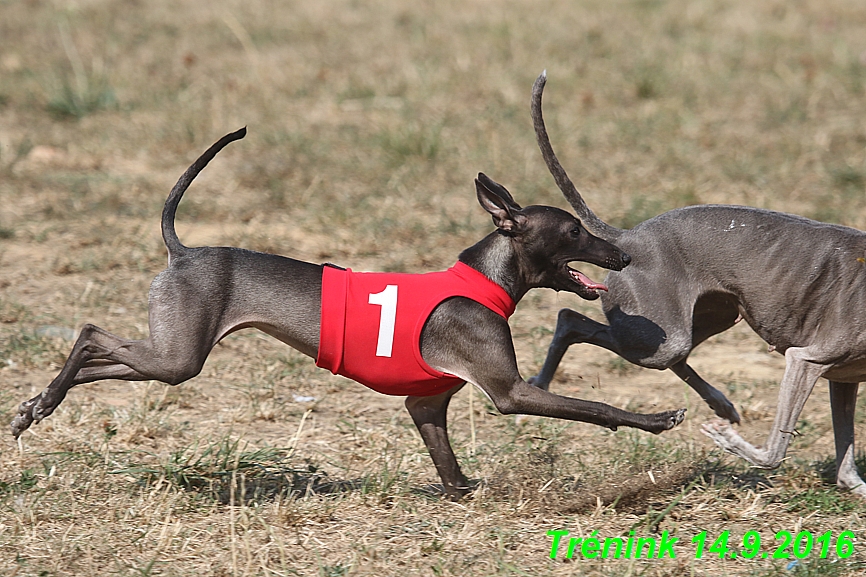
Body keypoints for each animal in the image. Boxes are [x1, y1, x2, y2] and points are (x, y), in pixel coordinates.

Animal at [6, 127, 680, 500]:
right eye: (573, 231)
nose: (620, 253)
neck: (484, 281)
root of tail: (183, 250)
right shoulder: (510, 393)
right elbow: (596, 407)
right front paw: (658, 418)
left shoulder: (426, 404)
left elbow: (447, 465)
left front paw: (462, 494)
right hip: (177, 357)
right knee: (90, 331)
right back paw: (40, 403)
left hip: (168, 356)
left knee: (98, 355)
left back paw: (35, 406)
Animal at [528, 71, 864, 496]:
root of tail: (627, 238)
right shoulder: (806, 360)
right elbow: (775, 450)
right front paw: (728, 441)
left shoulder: (843, 378)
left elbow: (846, 468)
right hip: (663, 336)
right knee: (571, 319)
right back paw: (542, 381)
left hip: (709, 316)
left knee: (674, 354)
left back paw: (721, 403)